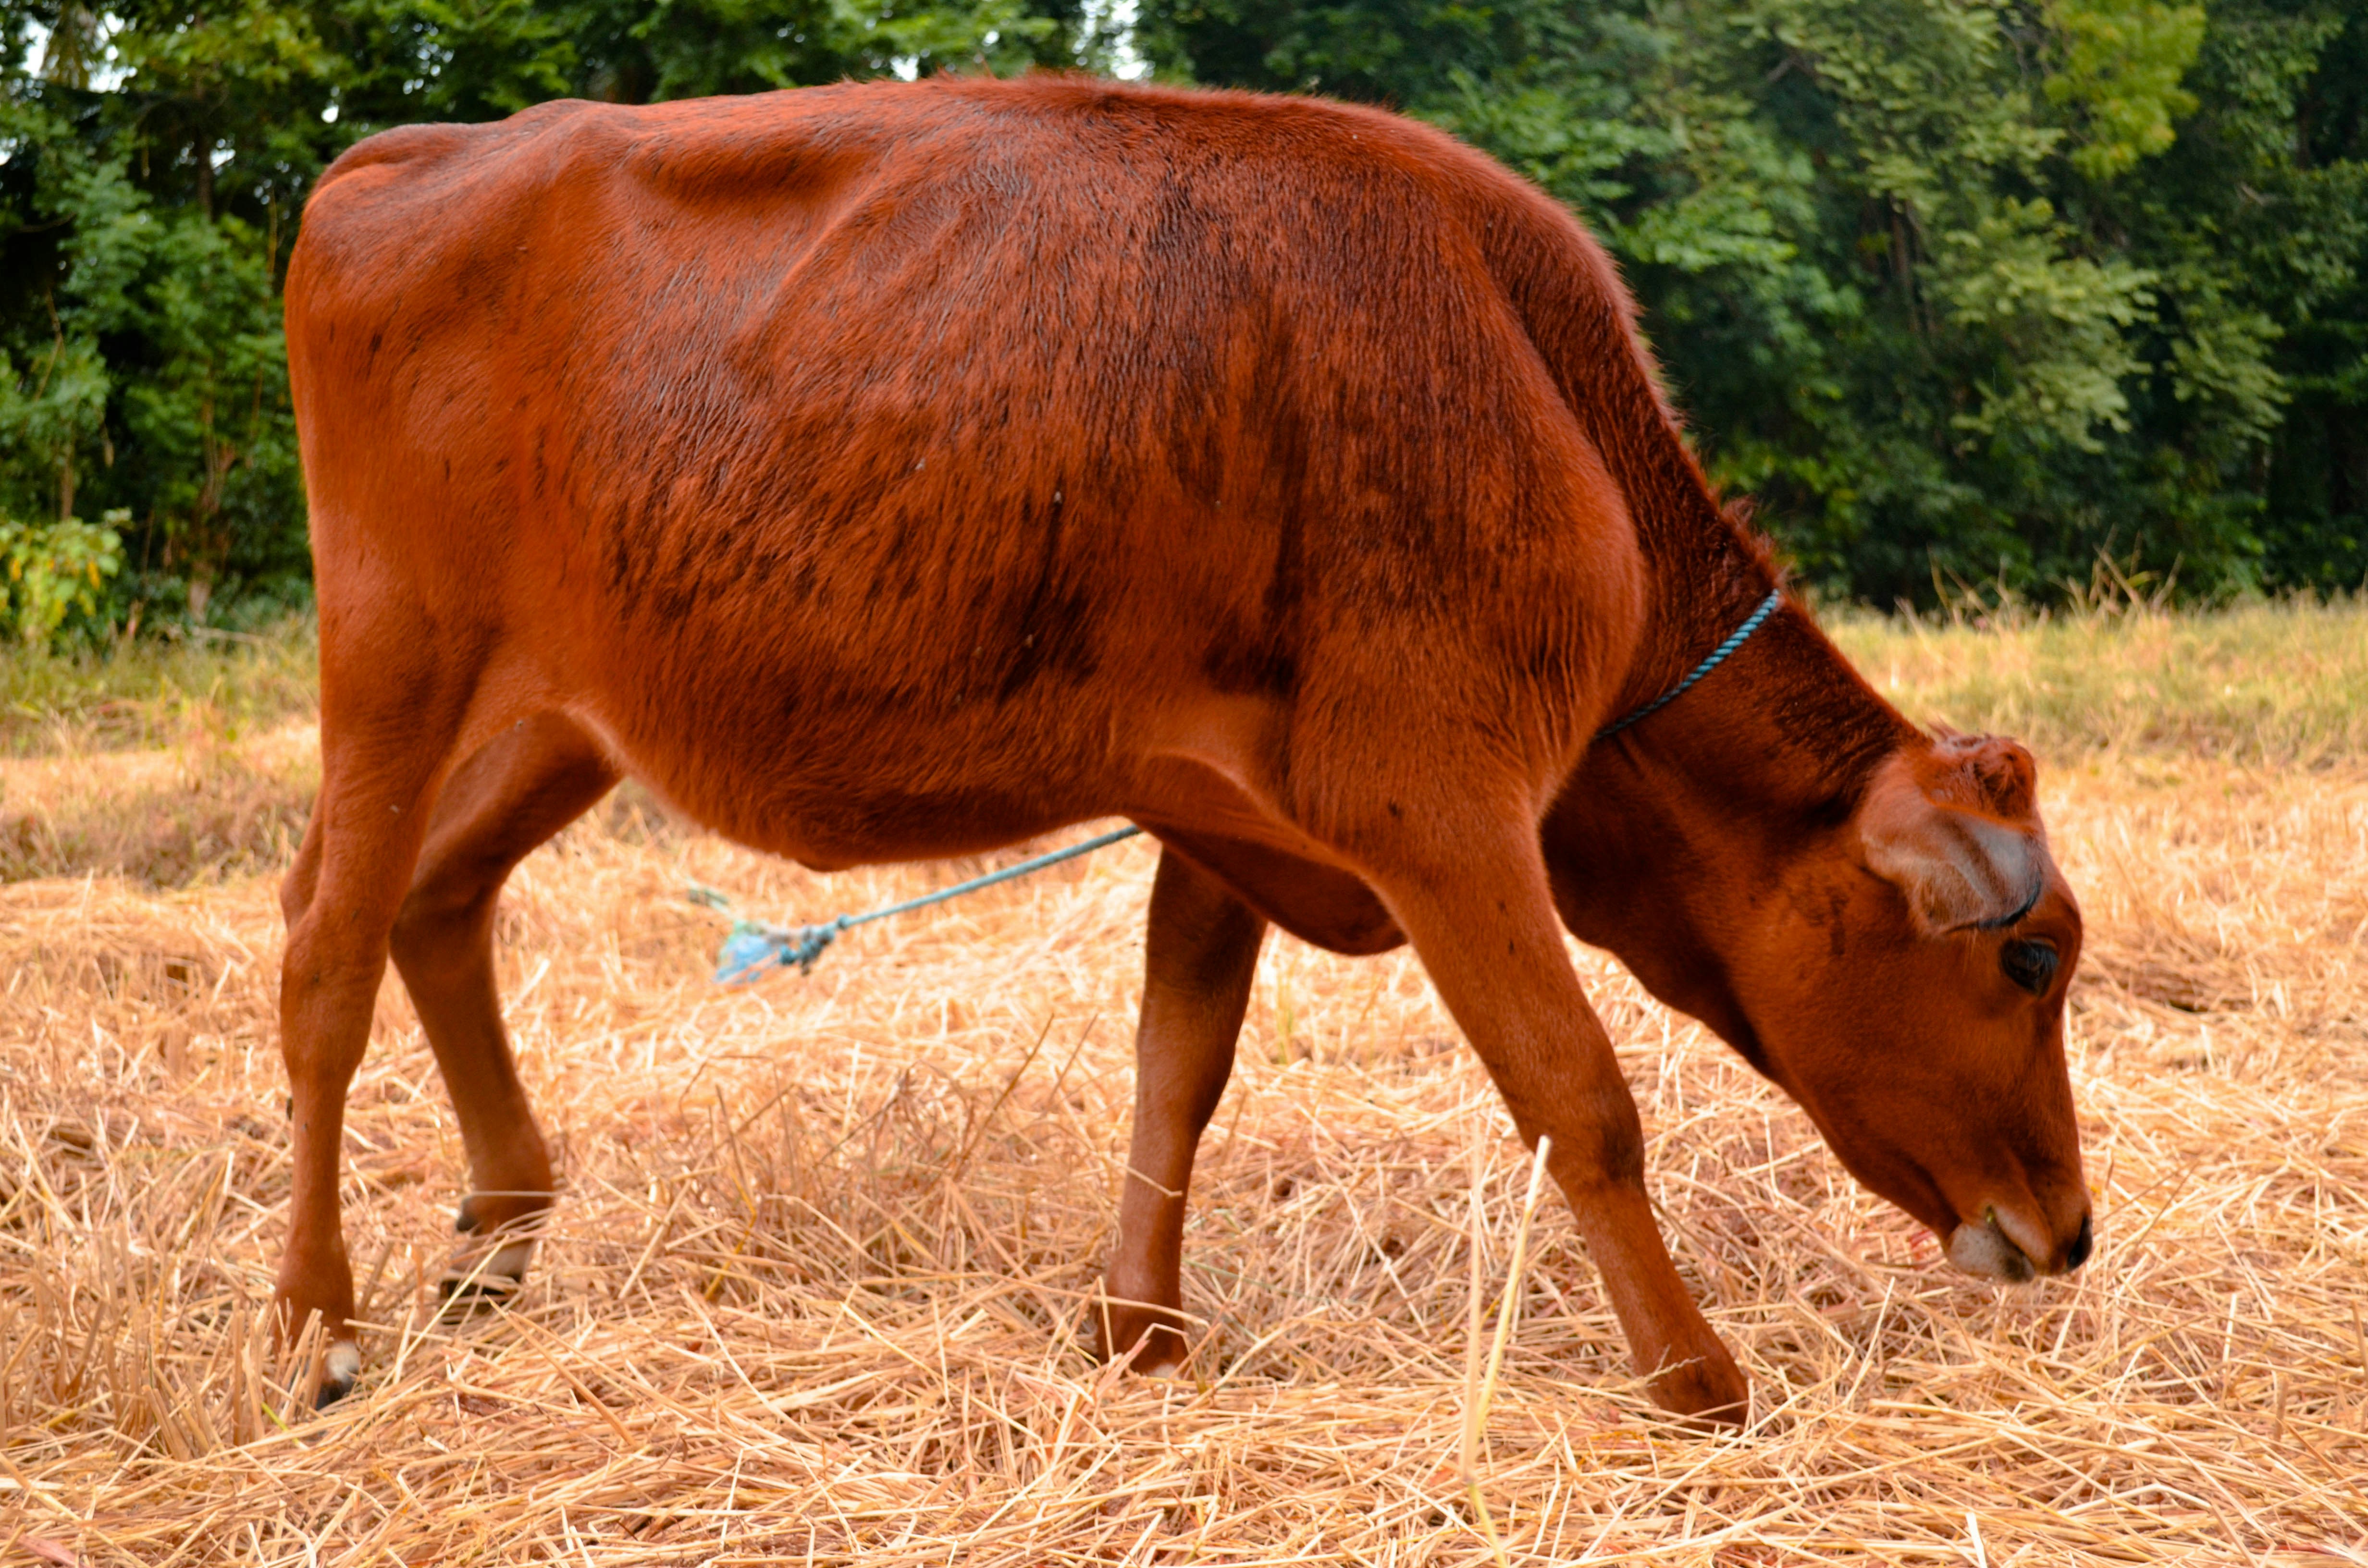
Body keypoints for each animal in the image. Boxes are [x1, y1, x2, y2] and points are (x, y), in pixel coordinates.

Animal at [278, 75, 2090, 1425]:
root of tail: (417, 149)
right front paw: (1700, 1379)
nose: (2068, 1233)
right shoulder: (1436, 800)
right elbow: (1577, 1093)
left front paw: (1137, 1328)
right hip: (394, 652)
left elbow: (1179, 1064)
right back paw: (318, 1326)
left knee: (436, 900)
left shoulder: (1226, 814)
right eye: (2027, 960)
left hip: (558, 709)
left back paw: (499, 1232)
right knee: (325, 945)